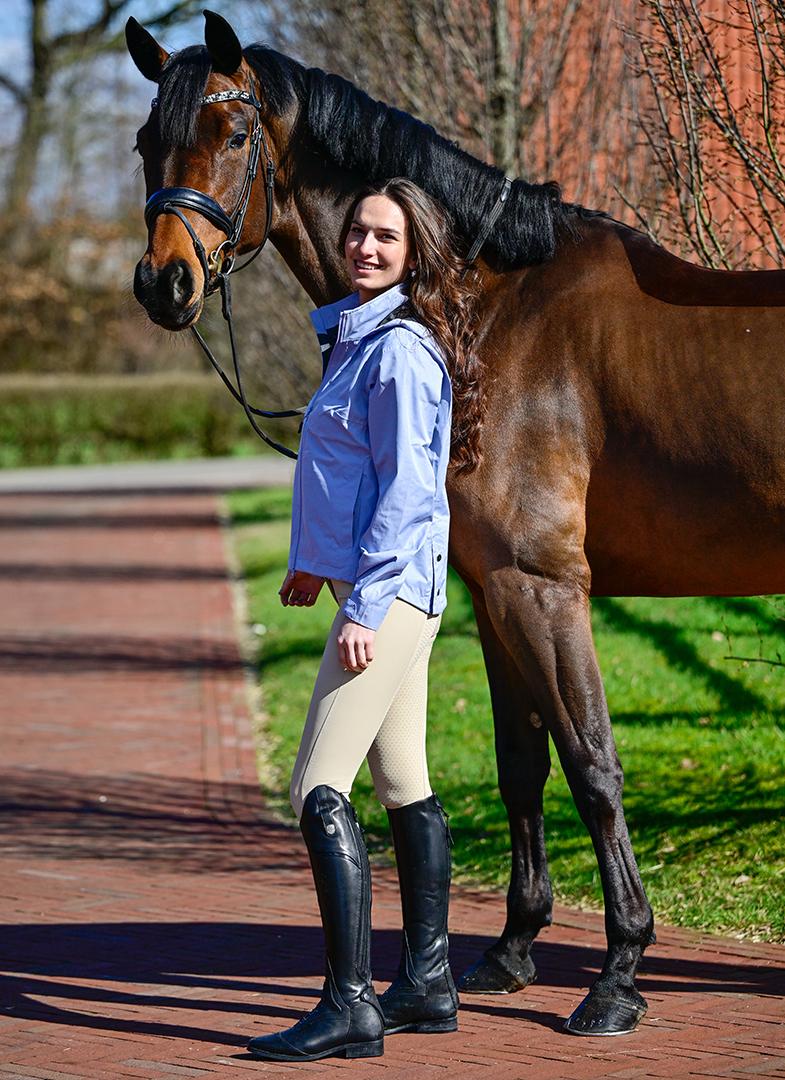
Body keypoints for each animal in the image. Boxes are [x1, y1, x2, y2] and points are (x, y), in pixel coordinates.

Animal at [125, 11, 785, 1037]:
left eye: (231, 136)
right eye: (144, 142)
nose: (165, 284)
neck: (488, 311)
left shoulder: (542, 588)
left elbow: (591, 764)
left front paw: (618, 973)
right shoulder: (491, 594)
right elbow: (524, 769)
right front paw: (511, 952)